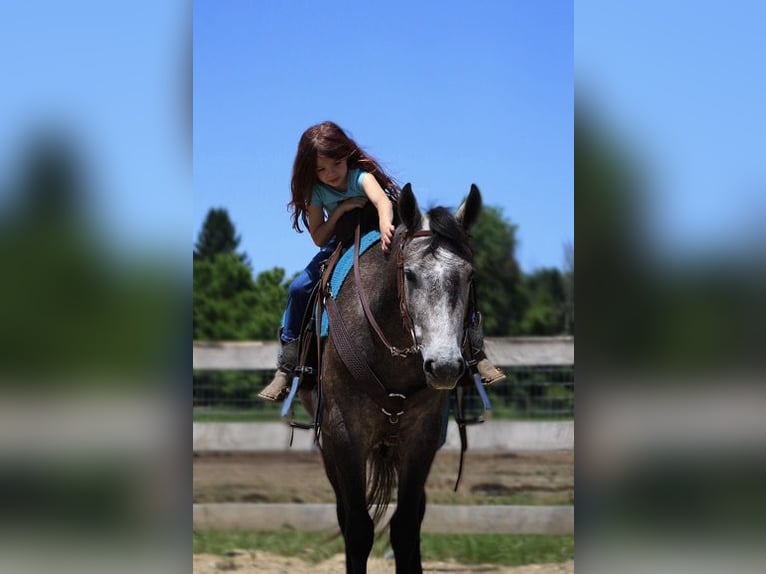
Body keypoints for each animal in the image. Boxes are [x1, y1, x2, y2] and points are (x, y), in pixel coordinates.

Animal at [299, 183, 482, 573]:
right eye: (409, 274)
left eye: (469, 275)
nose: (445, 367)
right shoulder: (344, 437)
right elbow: (357, 528)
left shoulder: (422, 439)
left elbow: (406, 526)